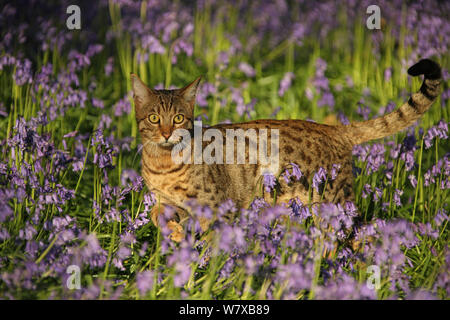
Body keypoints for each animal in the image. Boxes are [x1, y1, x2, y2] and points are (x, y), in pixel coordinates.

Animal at [129, 59, 440, 240]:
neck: (163, 164)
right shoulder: (170, 203)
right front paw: (174, 233)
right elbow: (157, 214)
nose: (167, 133)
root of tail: (333, 128)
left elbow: (212, 242)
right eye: (154, 118)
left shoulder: (218, 209)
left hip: (333, 204)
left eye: (178, 118)